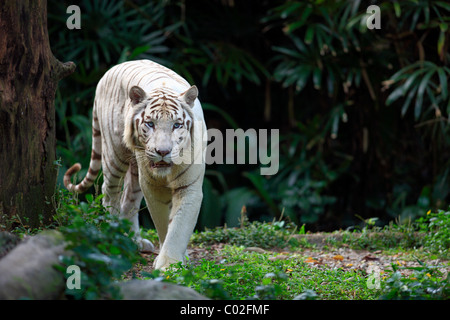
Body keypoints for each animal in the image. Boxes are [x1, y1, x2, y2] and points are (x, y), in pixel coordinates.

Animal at [63, 59, 207, 270]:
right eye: (150, 124)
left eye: (177, 125)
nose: (163, 152)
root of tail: (107, 73)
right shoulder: (154, 188)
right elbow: (164, 224)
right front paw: (168, 264)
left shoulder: (189, 186)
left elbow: (179, 226)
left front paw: (173, 261)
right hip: (115, 156)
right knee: (110, 193)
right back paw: (114, 236)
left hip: (136, 172)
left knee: (128, 198)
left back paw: (135, 240)